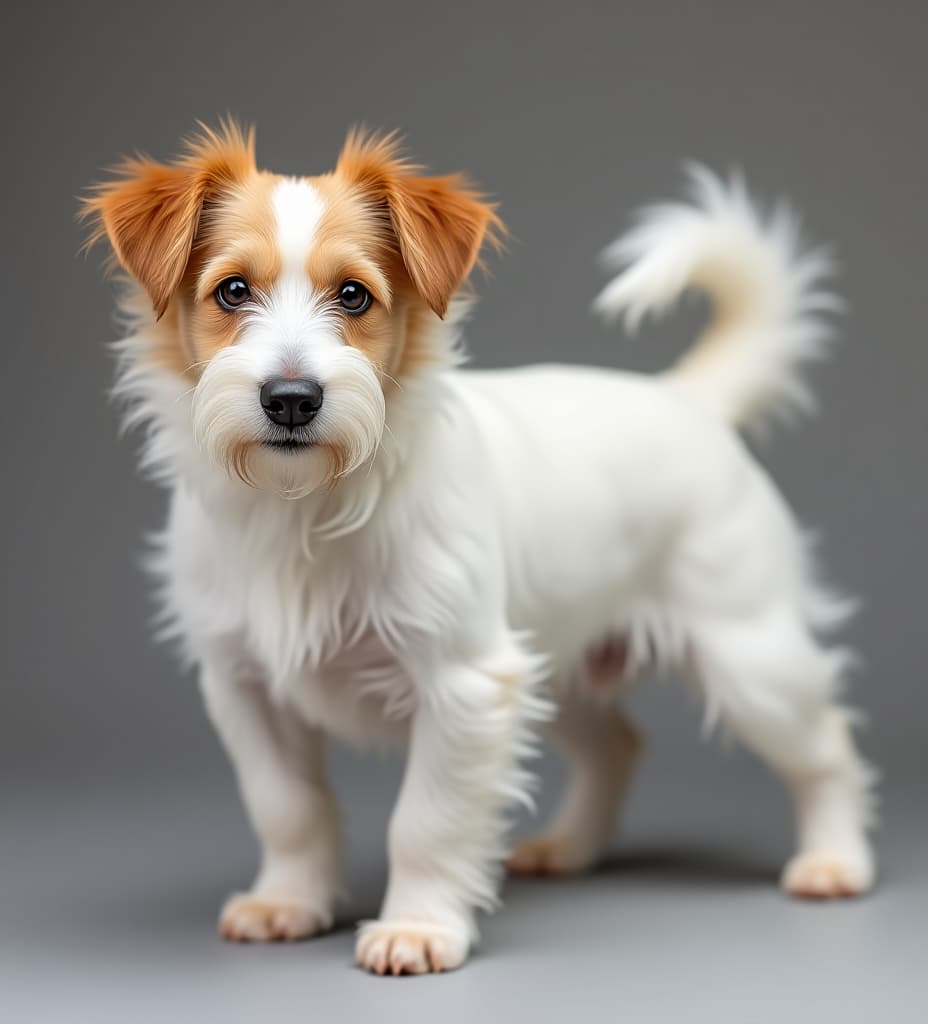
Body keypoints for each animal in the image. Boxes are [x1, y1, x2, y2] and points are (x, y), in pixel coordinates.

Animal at [82, 125, 872, 974]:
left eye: (353, 296)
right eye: (232, 292)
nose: (292, 400)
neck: (303, 509)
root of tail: (684, 399)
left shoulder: (465, 686)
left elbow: (425, 822)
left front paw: (419, 927)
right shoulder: (244, 687)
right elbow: (286, 807)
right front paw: (288, 901)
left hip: (750, 662)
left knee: (825, 745)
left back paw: (835, 860)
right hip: (558, 664)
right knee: (618, 745)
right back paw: (569, 847)